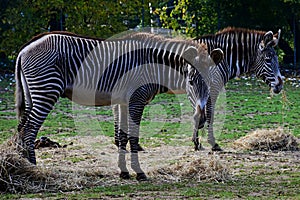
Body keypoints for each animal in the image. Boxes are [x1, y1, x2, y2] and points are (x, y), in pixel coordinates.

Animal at [13, 31, 223, 181]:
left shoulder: (123, 102)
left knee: (22, 129)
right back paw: (34, 169)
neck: (154, 66)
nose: (202, 118)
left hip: (33, 94)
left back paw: (21, 166)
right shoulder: (136, 100)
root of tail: (24, 49)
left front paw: (124, 172)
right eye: (191, 82)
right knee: (29, 130)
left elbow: (122, 137)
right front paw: (139, 173)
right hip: (46, 90)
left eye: (210, 82)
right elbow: (132, 136)